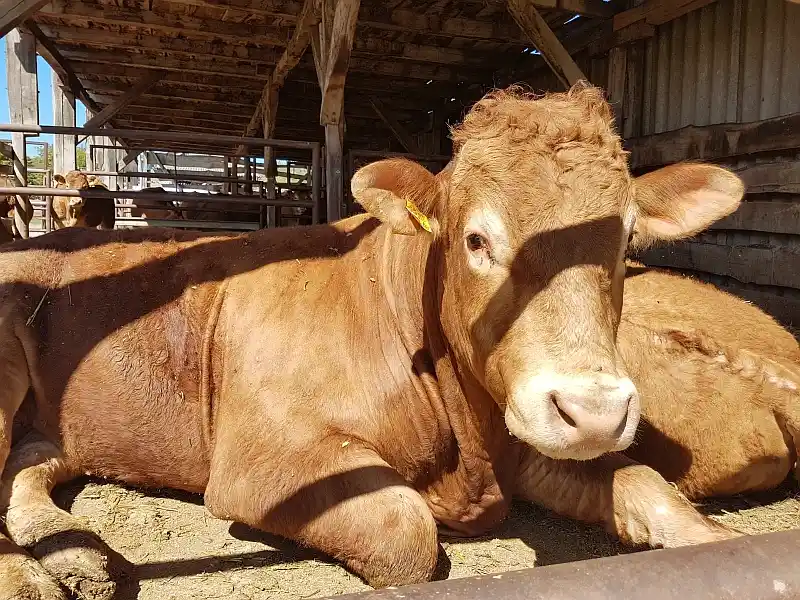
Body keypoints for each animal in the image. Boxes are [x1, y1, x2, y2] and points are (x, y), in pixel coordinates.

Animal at [0, 85, 744, 600]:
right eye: (476, 239)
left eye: (625, 240)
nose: (593, 412)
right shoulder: (260, 462)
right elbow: (404, 529)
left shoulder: (521, 442)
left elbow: (648, 487)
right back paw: (33, 579)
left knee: (24, 469)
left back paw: (77, 556)